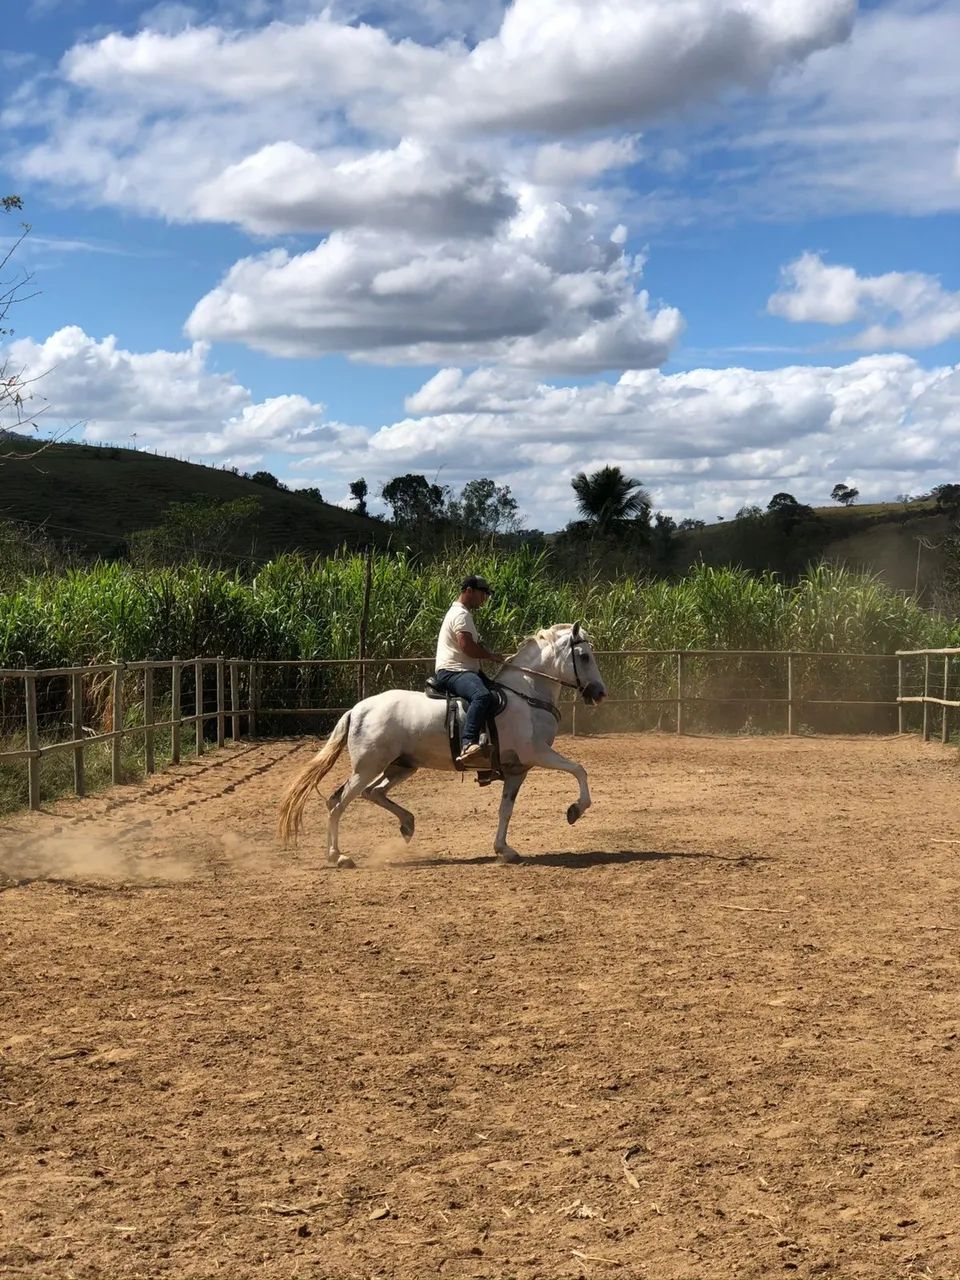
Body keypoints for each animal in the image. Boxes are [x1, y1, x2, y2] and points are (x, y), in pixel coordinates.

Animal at [277, 622, 607, 867]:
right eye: (584, 656)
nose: (600, 693)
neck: (527, 696)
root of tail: (358, 710)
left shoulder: (517, 769)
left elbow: (505, 810)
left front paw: (504, 850)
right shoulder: (537, 753)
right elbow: (579, 769)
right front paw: (575, 810)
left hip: (401, 766)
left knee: (373, 793)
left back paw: (407, 824)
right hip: (368, 767)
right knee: (339, 802)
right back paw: (339, 856)